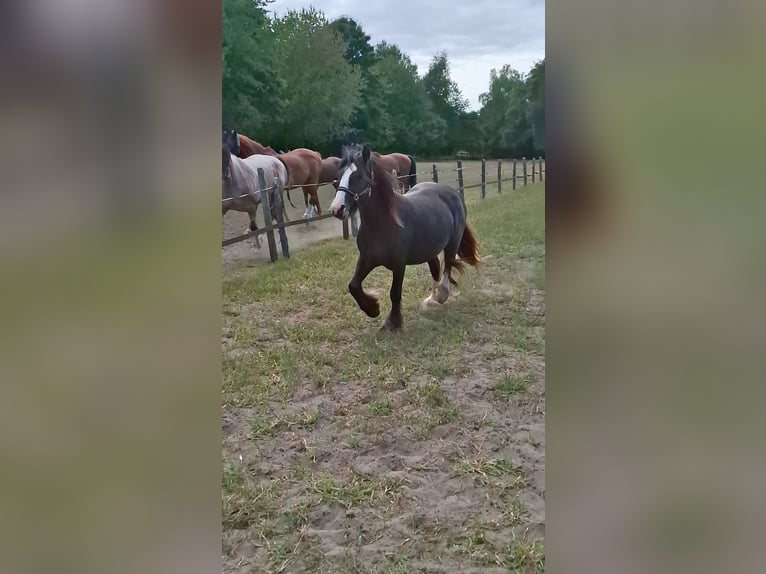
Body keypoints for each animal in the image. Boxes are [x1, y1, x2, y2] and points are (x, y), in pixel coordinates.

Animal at [329, 144, 480, 331]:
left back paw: (441, 295)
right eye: (338, 177)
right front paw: (373, 309)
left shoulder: (399, 264)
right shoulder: (366, 259)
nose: (337, 208)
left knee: (448, 264)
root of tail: (453, 193)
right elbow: (353, 286)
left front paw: (393, 322)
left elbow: (395, 293)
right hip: (428, 248)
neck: (382, 225)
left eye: (358, 176)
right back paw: (431, 299)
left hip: (453, 242)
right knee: (435, 267)